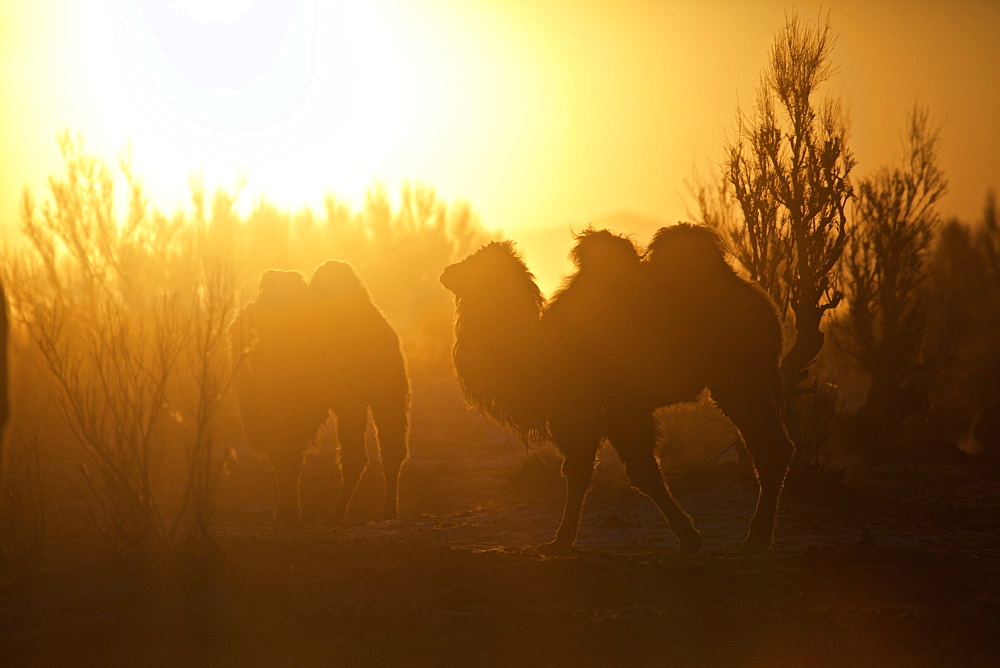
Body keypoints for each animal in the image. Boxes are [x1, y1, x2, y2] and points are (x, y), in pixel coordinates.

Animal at [230, 260, 410, 528]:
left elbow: (287, 455)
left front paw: (286, 515)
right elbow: (285, 457)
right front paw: (286, 514)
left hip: (365, 398)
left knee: (365, 453)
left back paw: (344, 514)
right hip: (375, 396)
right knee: (383, 450)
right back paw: (378, 512)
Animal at [442, 224, 792, 552]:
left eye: (476, 264)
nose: (446, 272)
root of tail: (762, 302)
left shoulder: (603, 407)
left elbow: (635, 471)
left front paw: (689, 536)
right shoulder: (593, 411)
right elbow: (584, 471)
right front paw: (562, 541)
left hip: (737, 379)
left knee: (771, 448)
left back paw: (756, 539)